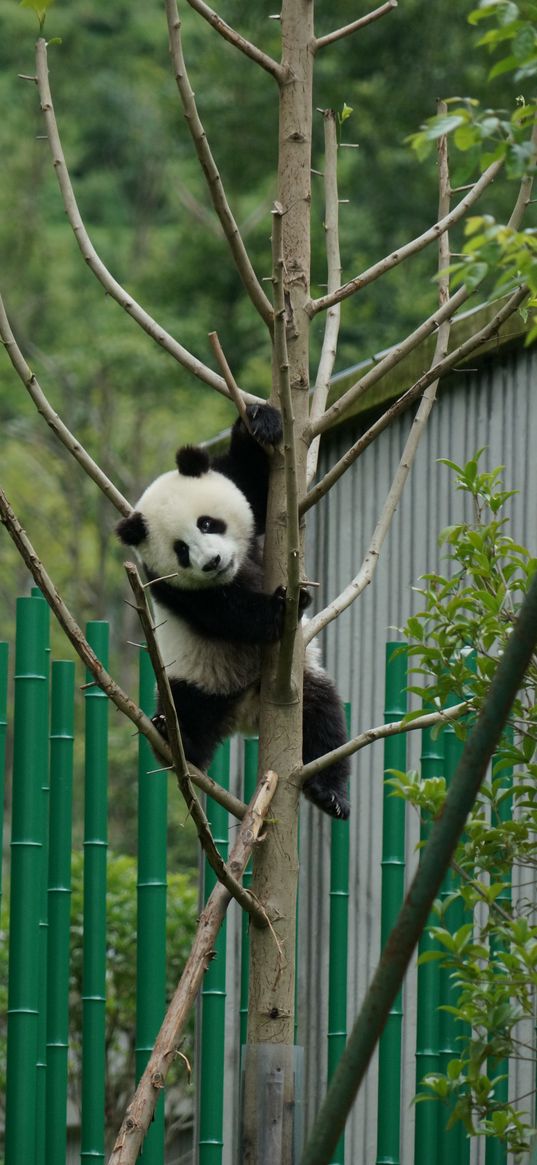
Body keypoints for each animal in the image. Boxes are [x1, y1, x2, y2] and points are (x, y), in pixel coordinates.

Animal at [117, 400, 349, 820]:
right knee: (187, 712)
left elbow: (253, 483)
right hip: (195, 680)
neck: (238, 569)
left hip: (302, 678)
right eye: (181, 550)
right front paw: (281, 606)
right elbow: (228, 614)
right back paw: (176, 738)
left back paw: (330, 793)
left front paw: (259, 422)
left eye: (208, 523)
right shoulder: (171, 586)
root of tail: (245, 716)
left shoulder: (242, 490)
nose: (212, 562)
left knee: (323, 719)